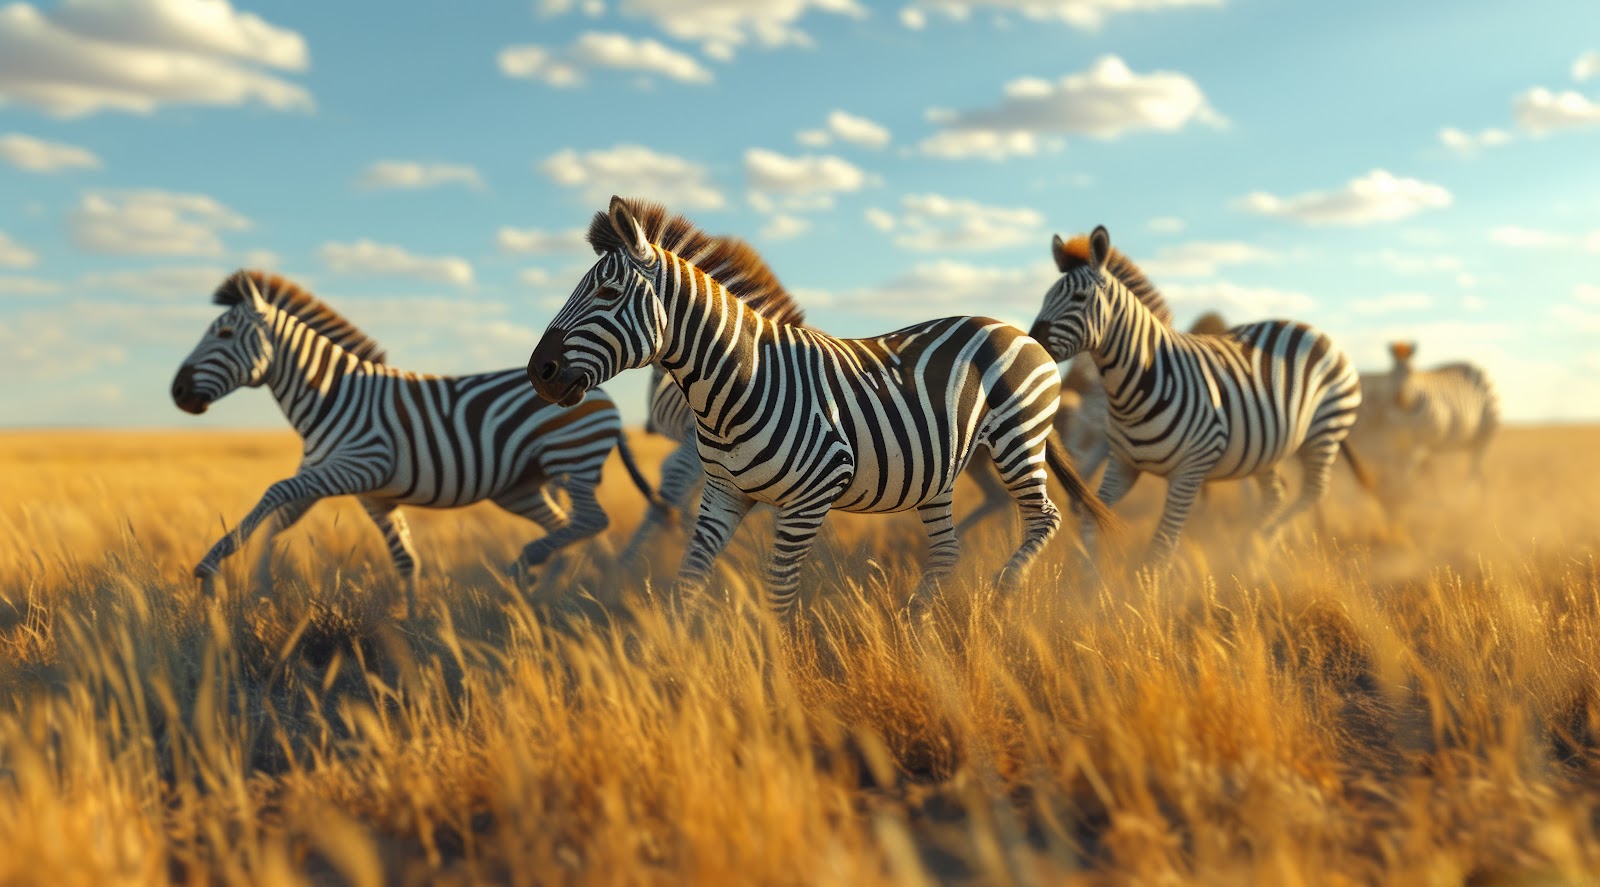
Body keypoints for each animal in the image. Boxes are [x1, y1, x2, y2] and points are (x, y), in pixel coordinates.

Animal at [171, 270, 664, 610]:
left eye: (224, 333)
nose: (176, 391)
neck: (331, 397)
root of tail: (597, 390)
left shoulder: (358, 465)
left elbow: (273, 494)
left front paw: (211, 566)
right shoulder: (368, 493)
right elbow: (398, 556)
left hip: (572, 460)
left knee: (591, 521)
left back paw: (543, 577)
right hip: (521, 488)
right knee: (570, 526)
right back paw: (558, 590)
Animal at [527, 196, 1115, 615]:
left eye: (606, 293)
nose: (539, 371)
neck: (738, 382)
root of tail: (1016, 330)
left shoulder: (810, 497)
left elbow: (779, 594)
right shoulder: (723, 494)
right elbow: (687, 583)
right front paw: (675, 667)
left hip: (1017, 441)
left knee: (1044, 517)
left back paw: (1002, 594)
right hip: (939, 473)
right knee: (948, 551)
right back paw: (914, 619)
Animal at [1027, 226, 1368, 563]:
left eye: (1079, 297)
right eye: (1044, 298)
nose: (1032, 343)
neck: (1136, 388)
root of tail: (1310, 329)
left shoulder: (1189, 472)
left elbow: (1160, 548)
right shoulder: (1123, 465)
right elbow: (1092, 521)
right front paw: (1087, 576)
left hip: (1324, 430)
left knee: (1313, 491)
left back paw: (1261, 540)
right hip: (1266, 446)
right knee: (1276, 495)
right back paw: (1251, 551)